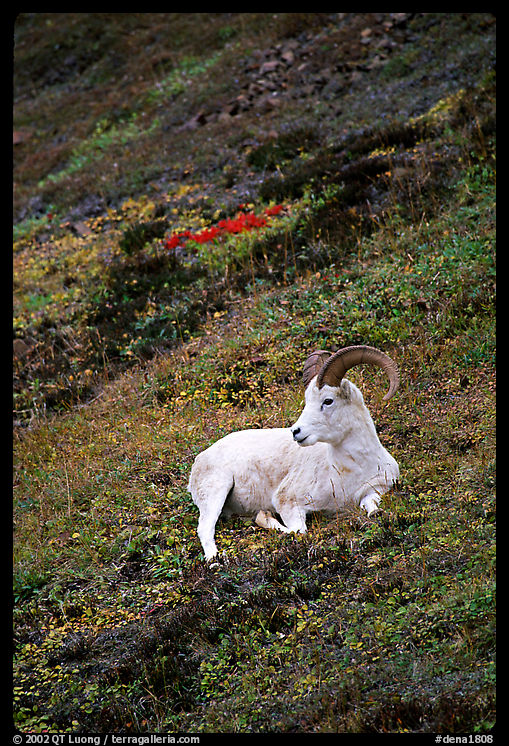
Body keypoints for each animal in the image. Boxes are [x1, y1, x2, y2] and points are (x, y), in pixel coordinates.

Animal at [188, 345, 400, 560]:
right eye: (307, 401)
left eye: (328, 401)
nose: (295, 431)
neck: (349, 470)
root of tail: (200, 458)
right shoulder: (288, 503)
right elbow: (298, 532)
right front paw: (264, 516)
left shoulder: (377, 488)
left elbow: (371, 508)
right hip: (216, 492)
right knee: (205, 528)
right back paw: (215, 559)